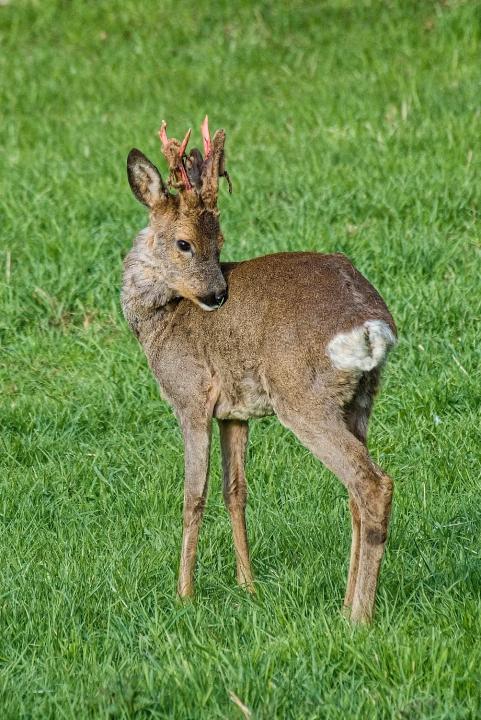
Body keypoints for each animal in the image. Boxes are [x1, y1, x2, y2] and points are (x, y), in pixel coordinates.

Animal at [122, 115, 396, 620]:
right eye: (185, 243)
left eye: (218, 243)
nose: (216, 295)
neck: (159, 320)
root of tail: (373, 324)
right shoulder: (234, 411)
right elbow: (236, 491)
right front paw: (248, 586)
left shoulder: (191, 398)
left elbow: (193, 495)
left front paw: (184, 594)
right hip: (360, 399)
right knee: (354, 491)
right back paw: (345, 603)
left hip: (302, 396)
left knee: (371, 483)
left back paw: (357, 618)